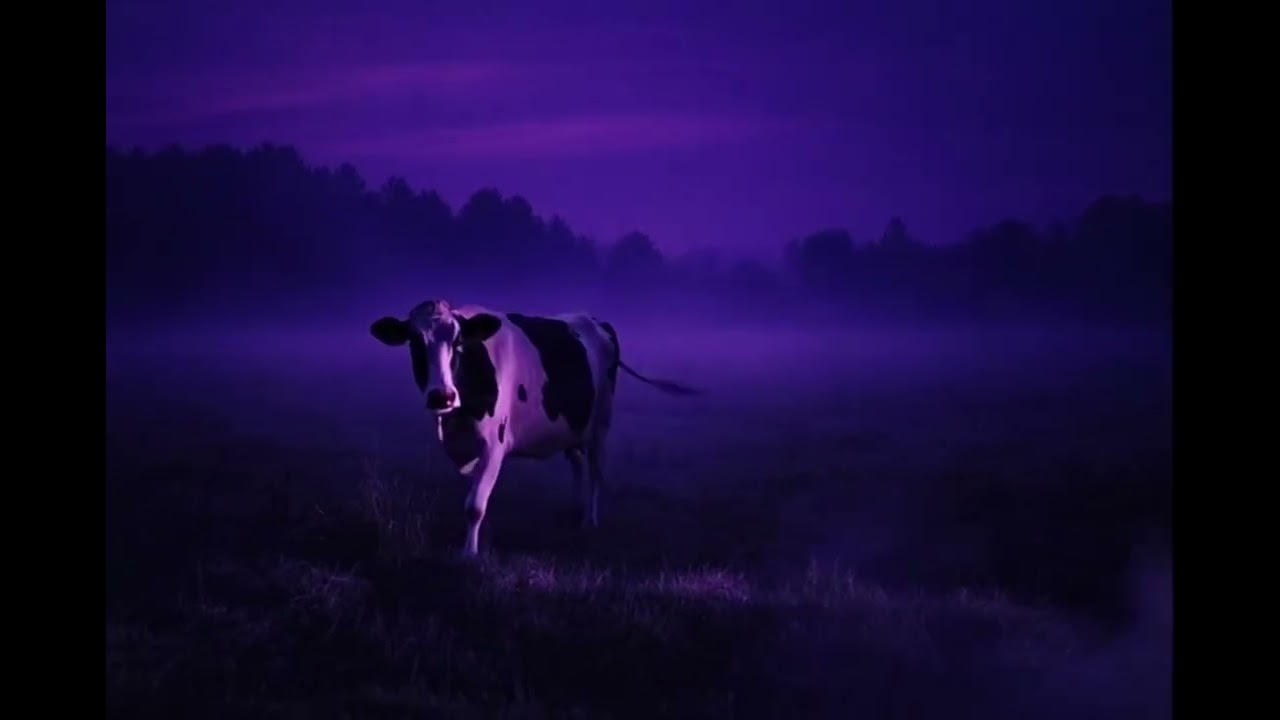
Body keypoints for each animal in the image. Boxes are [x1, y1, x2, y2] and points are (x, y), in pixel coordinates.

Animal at [369, 298, 699, 556]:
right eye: (414, 343)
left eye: (458, 342)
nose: (442, 395)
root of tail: (594, 320)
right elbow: (476, 496)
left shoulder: (494, 444)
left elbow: (475, 504)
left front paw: (469, 555)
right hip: (572, 425)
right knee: (577, 463)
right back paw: (575, 511)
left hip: (601, 423)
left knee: (596, 470)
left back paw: (590, 521)